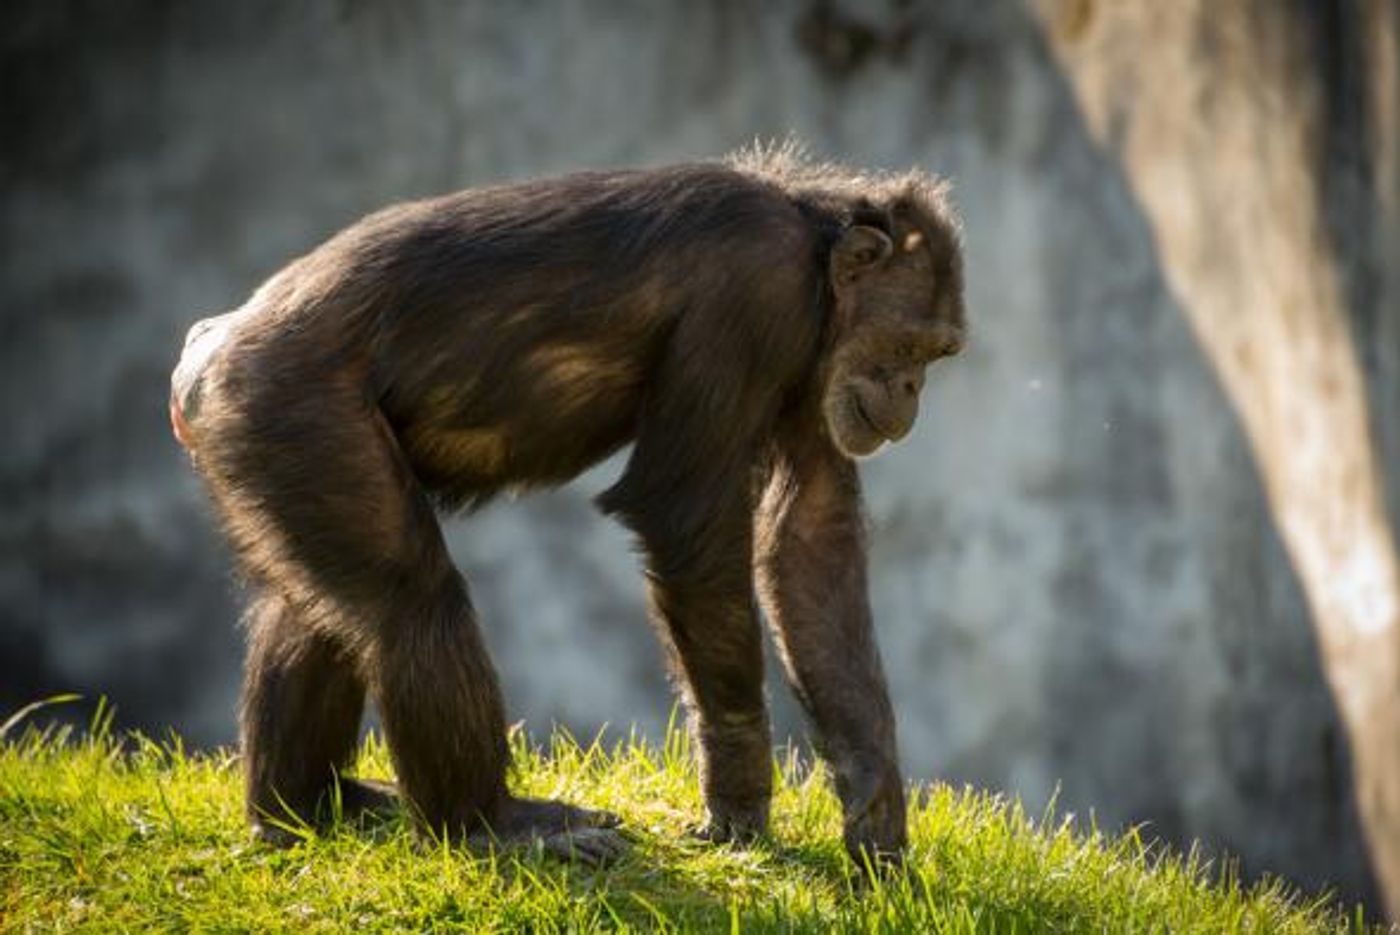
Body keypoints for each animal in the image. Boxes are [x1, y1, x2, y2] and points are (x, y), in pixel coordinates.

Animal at [172, 142, 963, 867]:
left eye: (939, 356)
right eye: (912, 346)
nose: (913, 391)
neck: (813, 248)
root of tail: (205, 354)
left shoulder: (820, 371)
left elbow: (809, 539)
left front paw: (876, 807)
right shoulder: (751, 293)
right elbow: (686, 510)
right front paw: (738, 785)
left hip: (267, 445)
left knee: (315, 609)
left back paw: (308, 804)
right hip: (290, 406)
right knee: (410, 601)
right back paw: (488, 824)